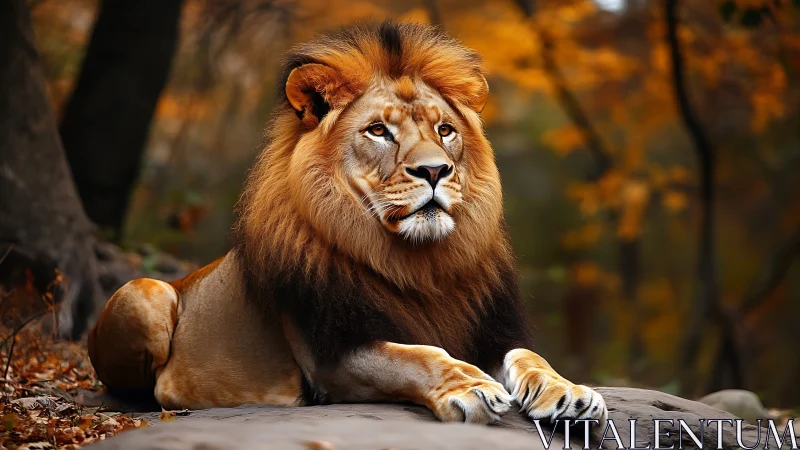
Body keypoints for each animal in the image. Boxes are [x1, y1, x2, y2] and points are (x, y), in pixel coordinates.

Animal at [88, 22, 607, 425]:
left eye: (445, 130)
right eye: (378, 130)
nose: (435, 170)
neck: (422, 264)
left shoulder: (489, 330)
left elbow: (529, 356)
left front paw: (568, 391)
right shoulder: (332, 356)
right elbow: (417, 356)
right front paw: (469, 387)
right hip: (144, 292)